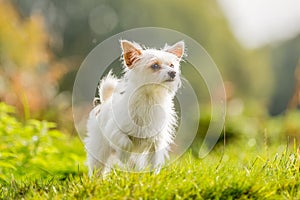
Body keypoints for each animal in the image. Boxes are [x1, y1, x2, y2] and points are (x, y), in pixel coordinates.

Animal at [83, 39, 184, 177]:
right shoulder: (114, 130)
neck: (149, 99)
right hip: (99, 149)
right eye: (155, 66)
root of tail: (104, 102)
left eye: (172, 65)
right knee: (98, 168)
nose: (173, 73)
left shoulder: (157, 142)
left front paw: (153, 178)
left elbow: (154, 163)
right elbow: (125, 142)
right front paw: (124, 157)